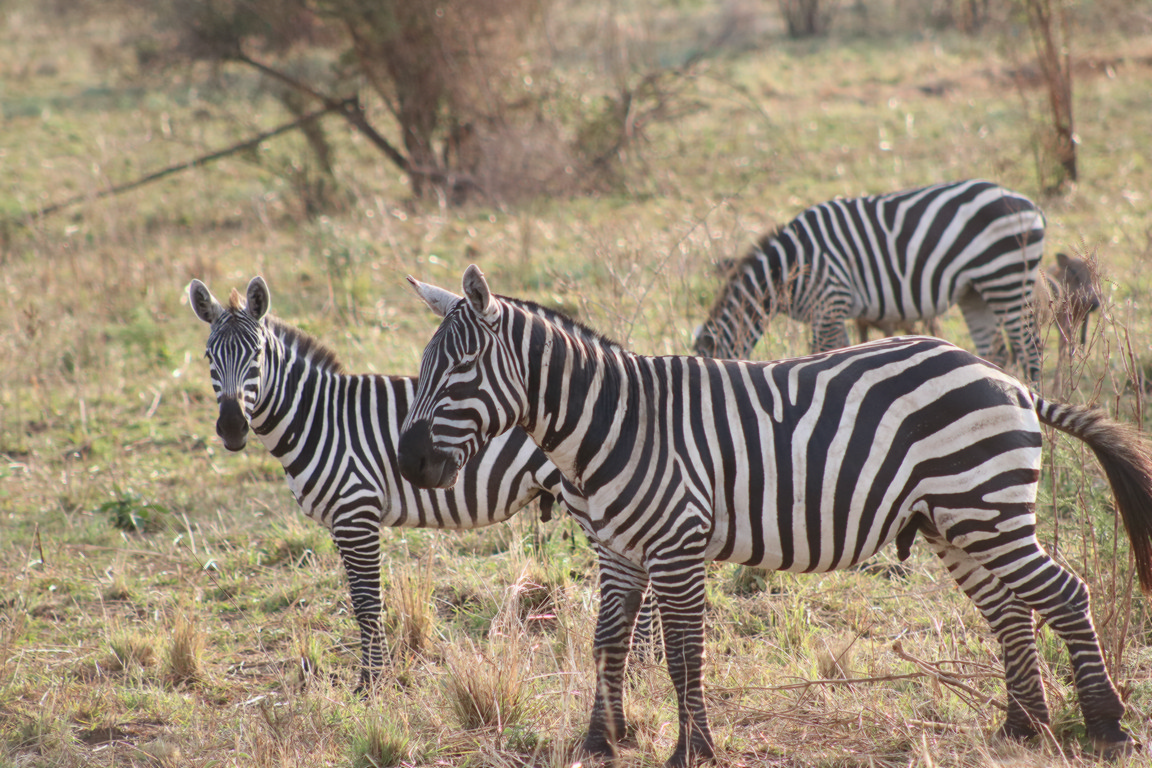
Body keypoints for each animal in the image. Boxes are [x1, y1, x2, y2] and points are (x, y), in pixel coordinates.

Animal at [396, 265, 1152, 768]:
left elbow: (683, 653)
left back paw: (1105, 727)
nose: (410, 461)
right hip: (959, 521)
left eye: (461, 368)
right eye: (423, 369)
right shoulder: (618, 550)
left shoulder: (676, 544)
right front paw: (598, 742)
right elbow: (606, 641)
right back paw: (1023, 730)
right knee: (1010, 608)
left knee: (1065, 593)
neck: (613, 423)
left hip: (985, 508)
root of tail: (1006, 378)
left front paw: (693, 750)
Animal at [695, 180, 1050, 384]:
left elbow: (821, 353)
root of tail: (1030, 204)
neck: (788, 270)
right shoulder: (831, 312)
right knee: (998, 350)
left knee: (1029, 349)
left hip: (1005, 278)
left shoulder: (831, 300)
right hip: (975, 291)